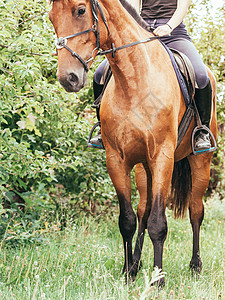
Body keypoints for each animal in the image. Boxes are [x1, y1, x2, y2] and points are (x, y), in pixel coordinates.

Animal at [48, 0, 216, 284]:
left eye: (81, 10)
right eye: (51, 18)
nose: (68, 78)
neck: (134, 79)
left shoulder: (162, 158)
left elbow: (159, 223)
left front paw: (157, 279)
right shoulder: (116, 160)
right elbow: (128, 220)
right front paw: (128, 271)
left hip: (200, 162)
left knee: (195, 210)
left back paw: (195, 266)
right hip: (142, 169)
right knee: (143, 211)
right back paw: (137, 262)